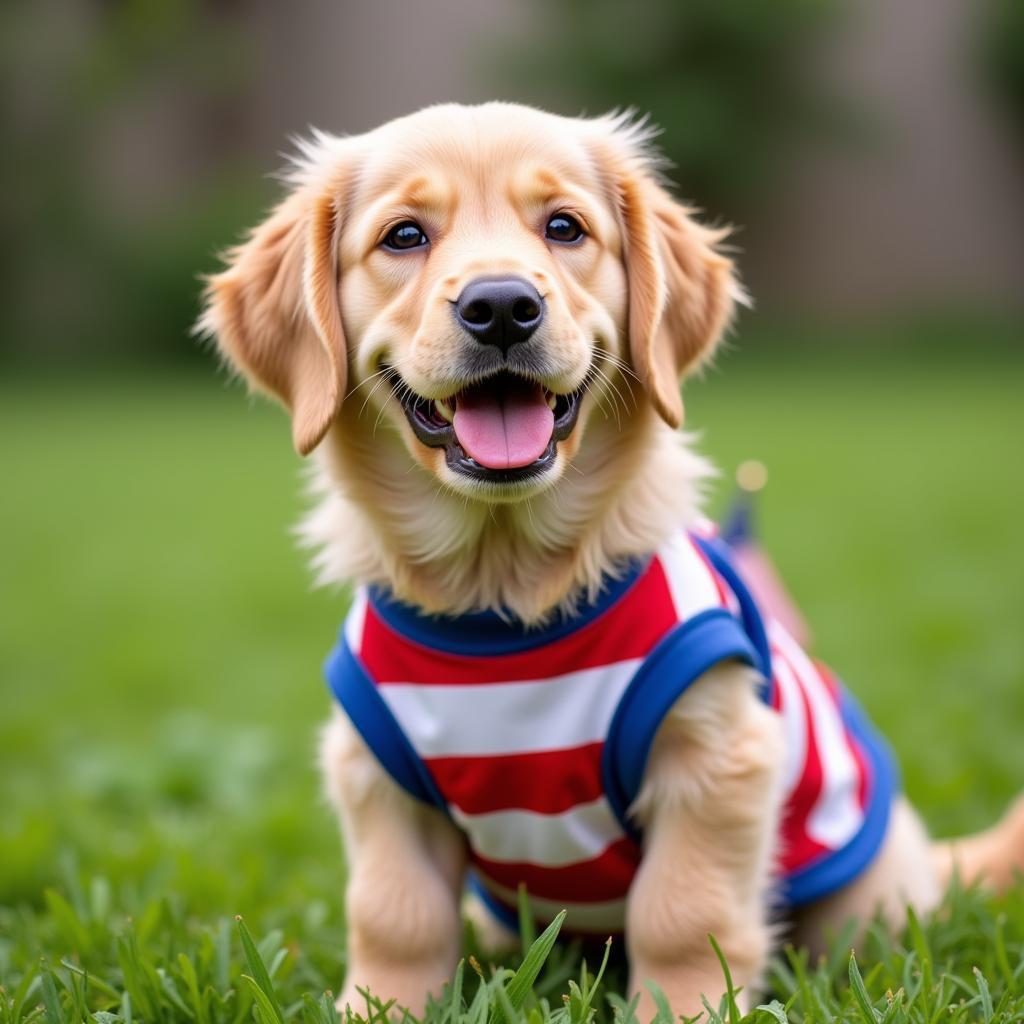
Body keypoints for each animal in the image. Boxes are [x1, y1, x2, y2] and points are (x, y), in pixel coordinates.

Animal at [199, 101, 1024, 1015]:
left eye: (565, 227)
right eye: (404, 236)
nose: (501, 305)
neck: (502, 592)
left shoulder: (716, 758)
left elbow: (685, 911)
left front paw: (686, 1010)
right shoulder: (377, 776)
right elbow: (394, 917)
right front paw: (377, 1007)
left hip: (863, 903)